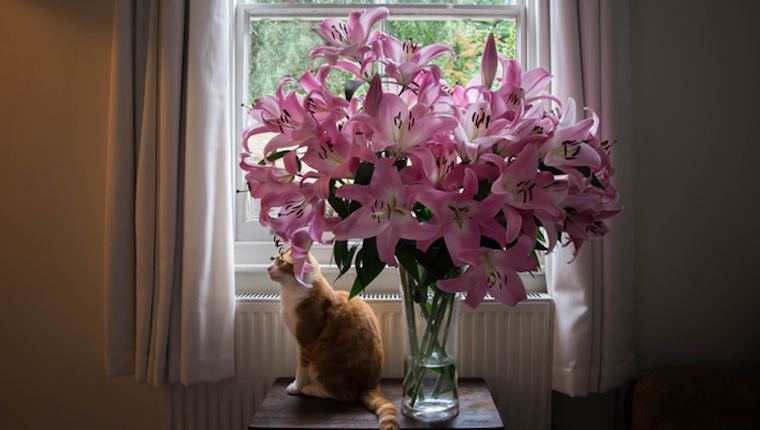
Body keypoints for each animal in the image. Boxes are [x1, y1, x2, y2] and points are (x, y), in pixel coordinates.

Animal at [268, 250, 400, 430]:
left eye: (281, 262)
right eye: (274, 259)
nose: (268, 268)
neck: (291, 293)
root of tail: (373, 385)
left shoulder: (307, 343)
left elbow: (301, 370)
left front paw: (296, 387)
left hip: (321, 359)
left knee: (345, 396)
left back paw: (309, 389)